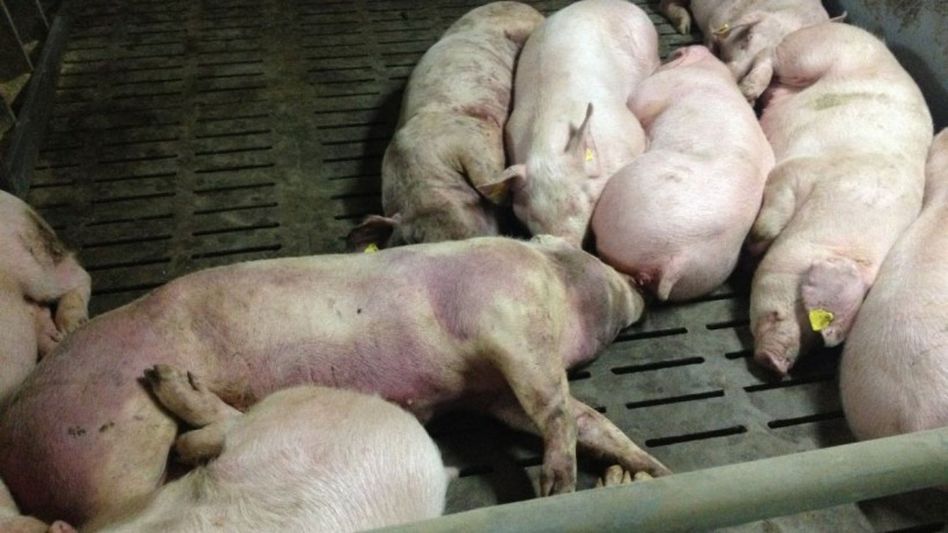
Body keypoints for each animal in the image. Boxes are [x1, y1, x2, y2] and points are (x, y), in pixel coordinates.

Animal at [591, 45, 773, 301]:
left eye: (670, 57)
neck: (710, 68)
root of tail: (678, 256)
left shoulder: (653, 91)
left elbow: (636, 103)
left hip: (624, 196)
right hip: (709, 271)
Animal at [659, 0, 833, 101]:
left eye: (776, 58)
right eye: (748, 37)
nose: (731, 76)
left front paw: (748, 94)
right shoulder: (714, 25)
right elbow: (710, 44)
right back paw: (684, 27)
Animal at [747, 23, 933, 375]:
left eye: (815, 332)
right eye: (800, 302)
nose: (776, 364)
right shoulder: (797, 173)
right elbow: (770, 218)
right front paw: (753, 244)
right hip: (812, 53)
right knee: (772, 52)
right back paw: (749, 89)